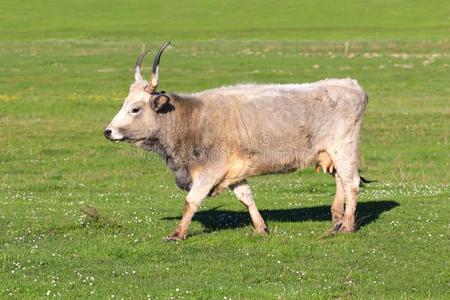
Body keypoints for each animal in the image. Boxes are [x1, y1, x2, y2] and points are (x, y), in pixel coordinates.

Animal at [104, 41, 370, 241]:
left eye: (135, 109)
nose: (108, 131)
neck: (191, 119)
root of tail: (350, 84)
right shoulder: (233, 170)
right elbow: (246, 197)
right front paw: (261, 227)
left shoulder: (211, 169)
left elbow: (191, 201)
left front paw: (178, 233)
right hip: (331, 153)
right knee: (340, 181)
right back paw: (336, 219)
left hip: (343, 148)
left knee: (351, 184)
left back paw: (347, 225)